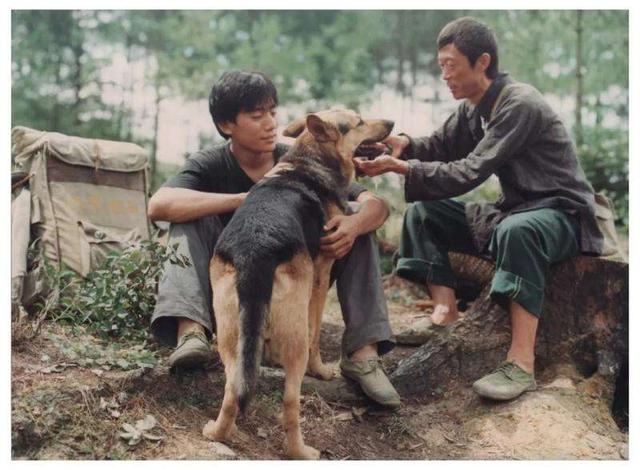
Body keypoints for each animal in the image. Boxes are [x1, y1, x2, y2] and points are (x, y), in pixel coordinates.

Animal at [202, 110, 392, 458]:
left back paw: (218, 433)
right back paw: (301, 451)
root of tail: (255, 249)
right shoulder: (320, 273)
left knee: (233, 388)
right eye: (359, 122)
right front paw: (322, 370)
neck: (307, 161)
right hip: (294, 337)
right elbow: (316, 333)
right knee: (290, 402)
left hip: (230, 333)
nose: (392, 124)